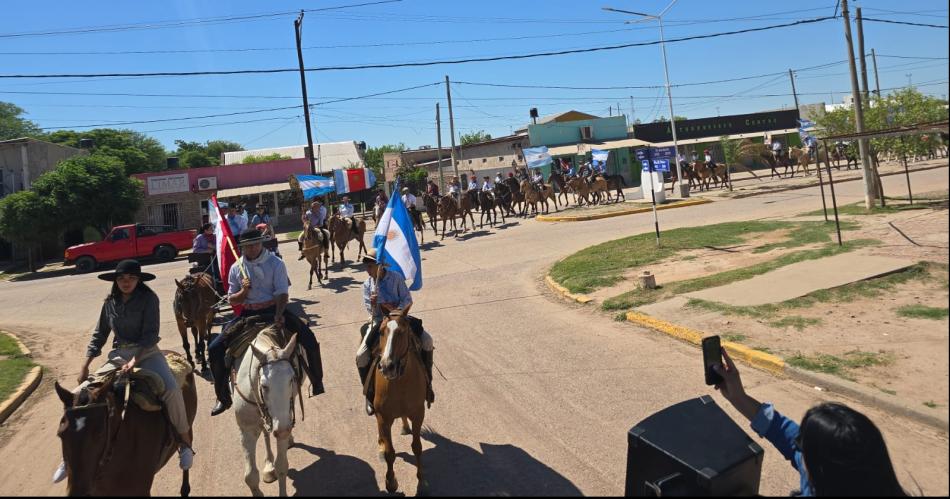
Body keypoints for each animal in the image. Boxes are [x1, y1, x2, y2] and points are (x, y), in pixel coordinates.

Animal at [234, 330, 302, 498]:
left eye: (292, 379)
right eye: (264, 386)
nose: (283, 430)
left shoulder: (283, 421)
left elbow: (282, 466)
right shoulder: (247, 431)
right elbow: (250, 476)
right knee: (266, 433)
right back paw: (269, 466)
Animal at [374, 312, 430, 496]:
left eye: (402, 332)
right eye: (381, 331)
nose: (387, 366)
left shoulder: (418, 413)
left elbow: (417, 447)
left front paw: (421, 482)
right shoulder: (384, 417)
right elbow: (390, 453)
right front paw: (391, 482)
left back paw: (405, 427)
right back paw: (381, 445)